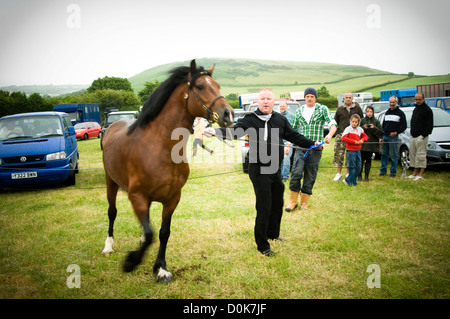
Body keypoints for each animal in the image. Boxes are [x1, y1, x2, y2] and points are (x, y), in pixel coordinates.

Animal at [102, 59, 236, 282]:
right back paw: (108, 246)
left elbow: (163, 232)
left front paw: (161, 269)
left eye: (217, 85)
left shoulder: (172, 198)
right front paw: (131, 262)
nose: (228, 114)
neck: (160, 147)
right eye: (200, 86)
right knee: (112, 213)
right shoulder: (137, 196)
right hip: (110, 183)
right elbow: (150, 235)